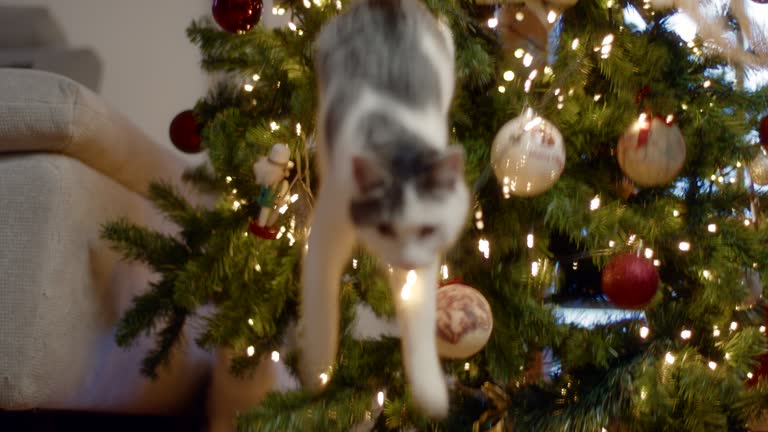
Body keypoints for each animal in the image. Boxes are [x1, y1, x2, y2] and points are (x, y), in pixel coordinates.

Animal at [298, 0, 468, 418]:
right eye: (385, 228)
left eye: (426, 229)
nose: (405, 261)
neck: (397, 143)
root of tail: (384, 4)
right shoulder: (324, 237)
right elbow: (321, 310)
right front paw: (317, 375)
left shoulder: (425, 264)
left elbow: (419, 320)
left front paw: (430, 393)